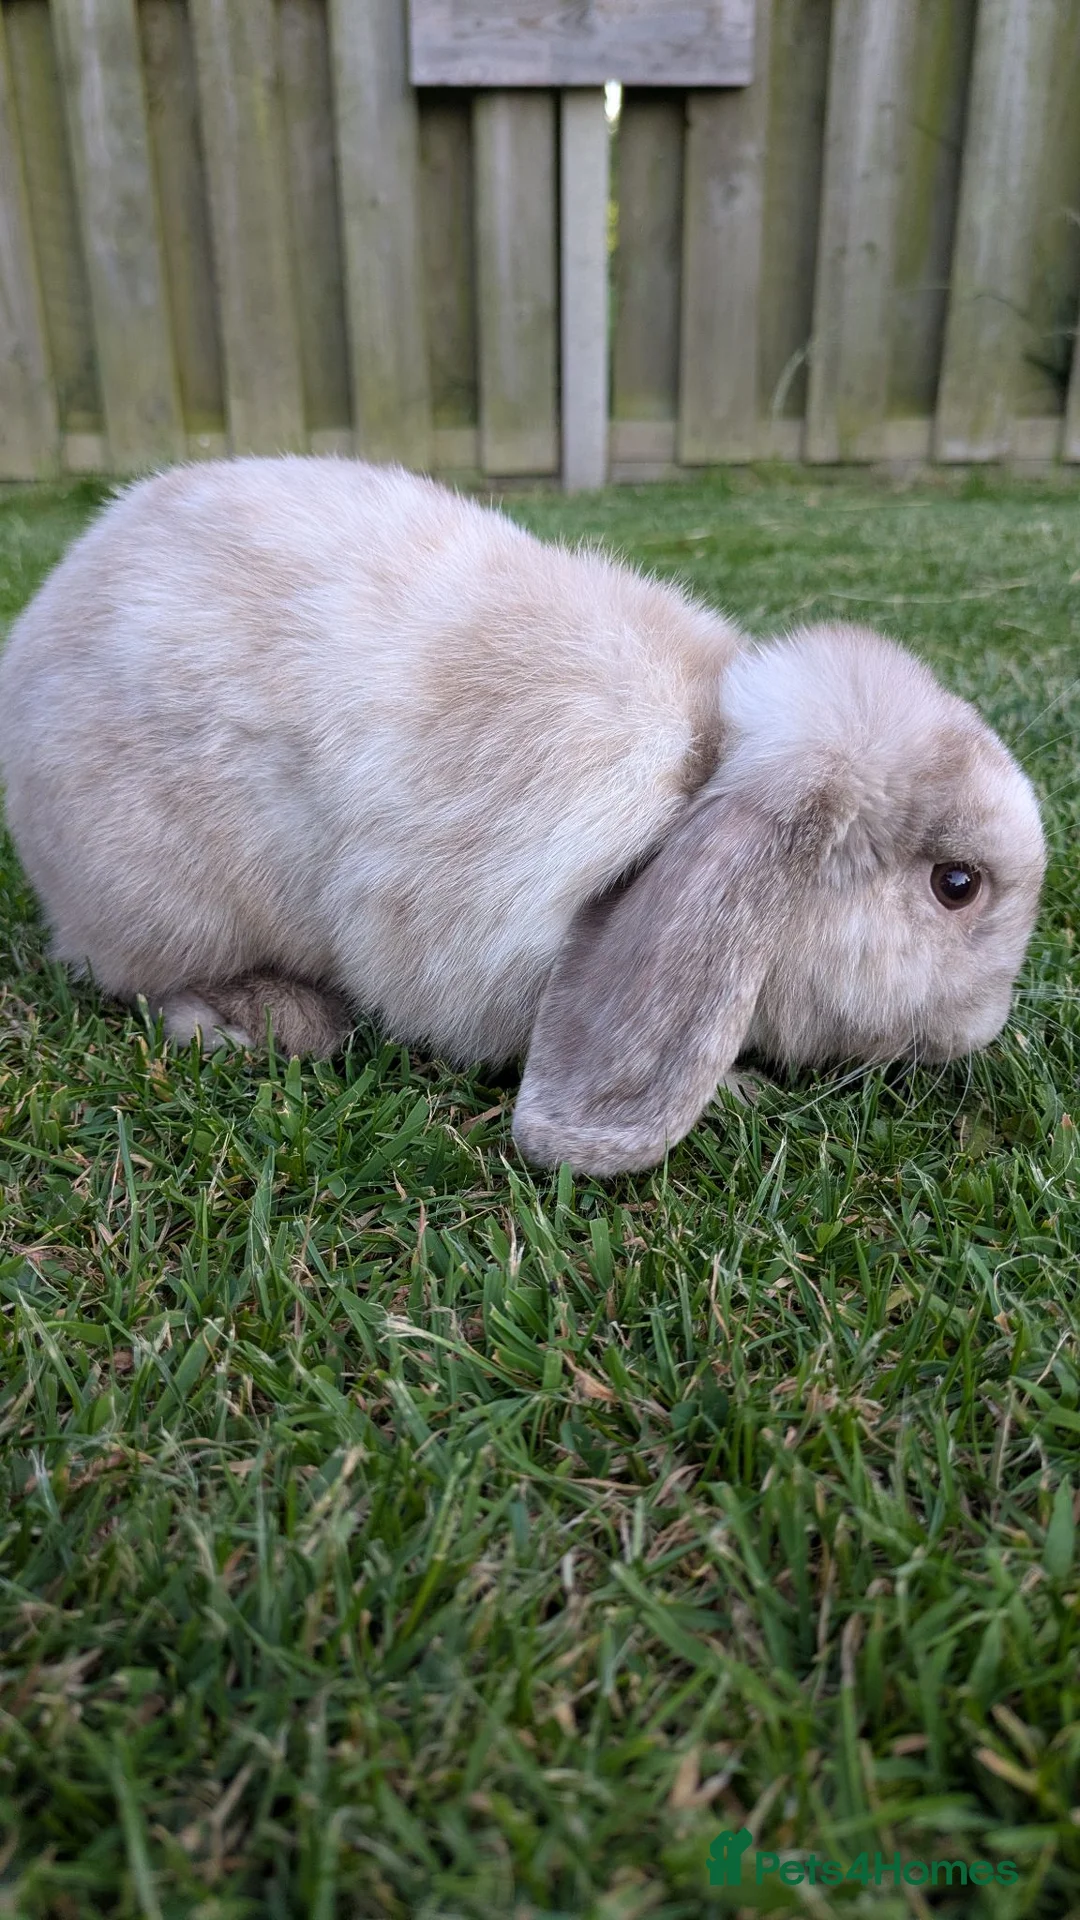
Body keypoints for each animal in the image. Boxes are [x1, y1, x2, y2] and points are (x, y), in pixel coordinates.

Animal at [0, 457, 1046, 1175]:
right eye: (957, 885)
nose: (985, 1028)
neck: (702, 769)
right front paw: (741, 1093)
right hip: (163, 903)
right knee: (143, 983)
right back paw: (270, 1020)